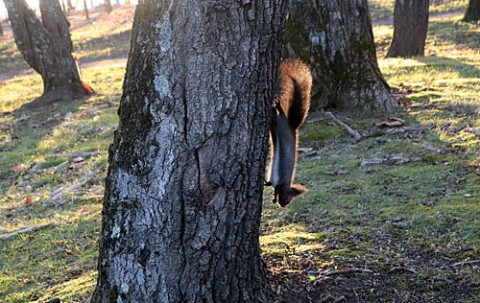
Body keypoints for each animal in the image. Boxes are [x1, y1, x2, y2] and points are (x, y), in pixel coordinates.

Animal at [266, 59, 312, 207]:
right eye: (288, 198)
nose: (284, 205)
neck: (286, 185)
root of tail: (293, 128)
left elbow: (271, 185)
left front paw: (271, 192)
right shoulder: (281, 183)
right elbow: (276, 189)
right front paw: (274, 198)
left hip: (276, 132)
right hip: (282, 126)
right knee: (279, 114)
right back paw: (277, 106)